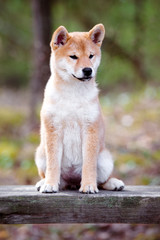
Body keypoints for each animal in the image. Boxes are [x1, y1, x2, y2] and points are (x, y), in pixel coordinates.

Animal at [35, 23, 125, 193]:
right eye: (73, 56)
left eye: (91, 56)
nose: (88, 70)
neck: (73, 93)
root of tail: (72, 181)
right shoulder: (53, 129)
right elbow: (53, 164)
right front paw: (50, 184)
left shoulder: (90, 128)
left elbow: (89, 164)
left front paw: (88, 185)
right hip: (40, 154)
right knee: (52, 175)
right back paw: (43, 183)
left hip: (105, 160)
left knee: (102, 180)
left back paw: (113, 183)